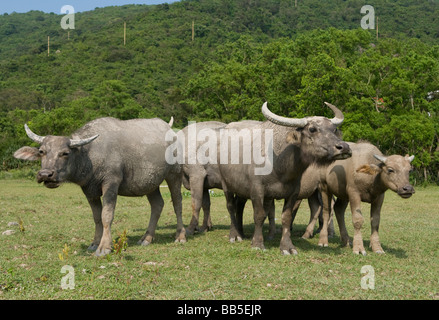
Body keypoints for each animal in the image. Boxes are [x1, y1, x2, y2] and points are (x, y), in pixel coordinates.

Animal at [13, 117, 186, 255]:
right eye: (42, 151)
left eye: (65, 153)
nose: (45, 174)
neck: (90, 155)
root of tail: (171, 131)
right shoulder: (89, 190)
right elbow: (96, 217)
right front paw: (95, 243)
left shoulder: (111, 183)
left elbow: (106, 215)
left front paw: (104, 247)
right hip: (151, 182)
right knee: (157, 204)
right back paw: (147, 238)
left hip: (174, 174)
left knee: (177, 203)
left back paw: (180, 236)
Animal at [218, 101, 352, 254]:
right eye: (312, 129)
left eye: (334, 129)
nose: (344, 147)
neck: (280, 165)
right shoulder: (257, 191)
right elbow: (259, 215)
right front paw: (257, 243)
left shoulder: (293, 193)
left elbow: (286, 217)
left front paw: (287, 247)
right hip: (226, 185)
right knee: (231, 206)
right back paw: (235, 235)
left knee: (240, 206)